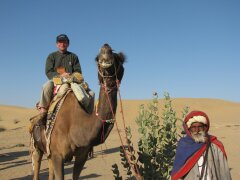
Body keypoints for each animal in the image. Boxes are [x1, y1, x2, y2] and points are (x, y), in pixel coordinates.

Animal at [31, 43, 125, 179]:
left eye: (120, 59)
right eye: (97, 58)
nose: (105, 48)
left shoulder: (82, 156)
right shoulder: (58, 155)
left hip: (48, 152)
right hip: (37, 147)